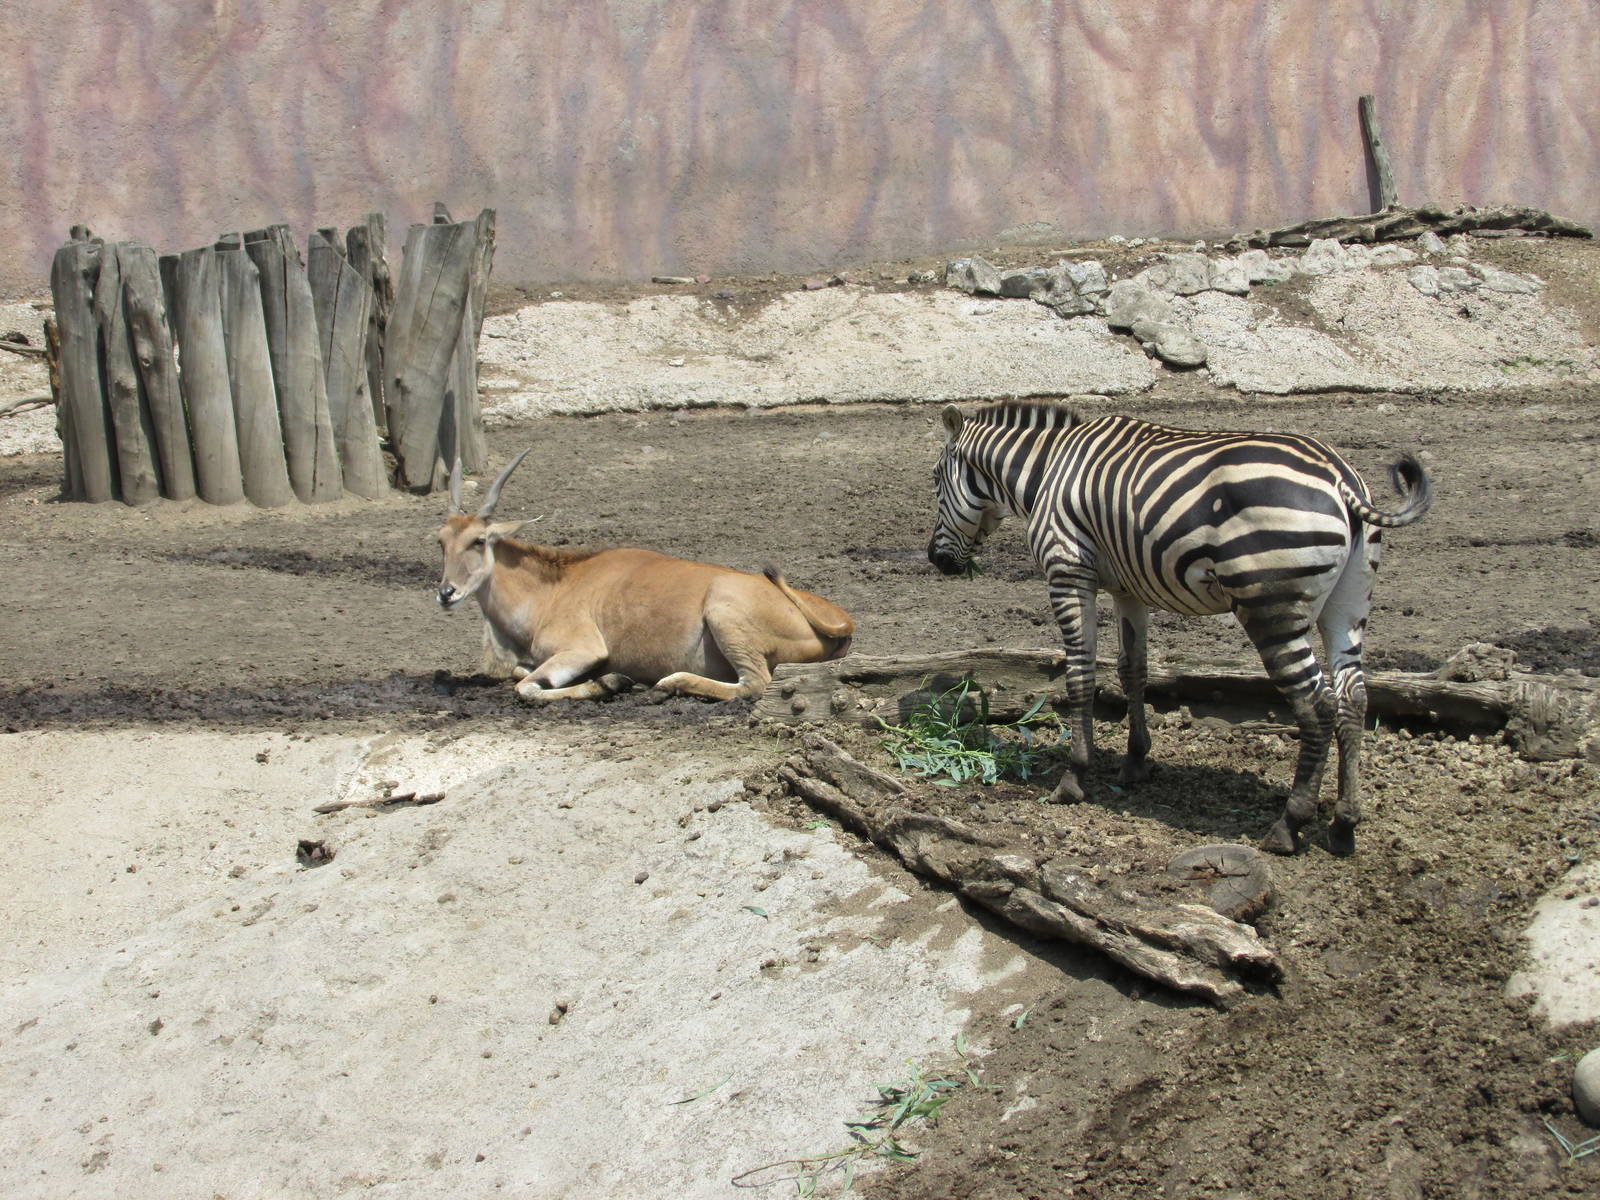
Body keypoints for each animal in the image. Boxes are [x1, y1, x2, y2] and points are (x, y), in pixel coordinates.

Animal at [925, 400, 1432, 856]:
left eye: (934, 480)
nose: (936, 560)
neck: (1047, 469)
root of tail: (1340, 478)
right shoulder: (1127, 588)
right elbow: (1133, 670)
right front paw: (1135, 761)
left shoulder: (1067, 571)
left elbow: (1080, 673)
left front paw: (1074, 777)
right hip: (1348, 604)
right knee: (1354, 698)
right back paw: (1344, 824)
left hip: (1271, 607)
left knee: (1318, 706)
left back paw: (1289, 825)